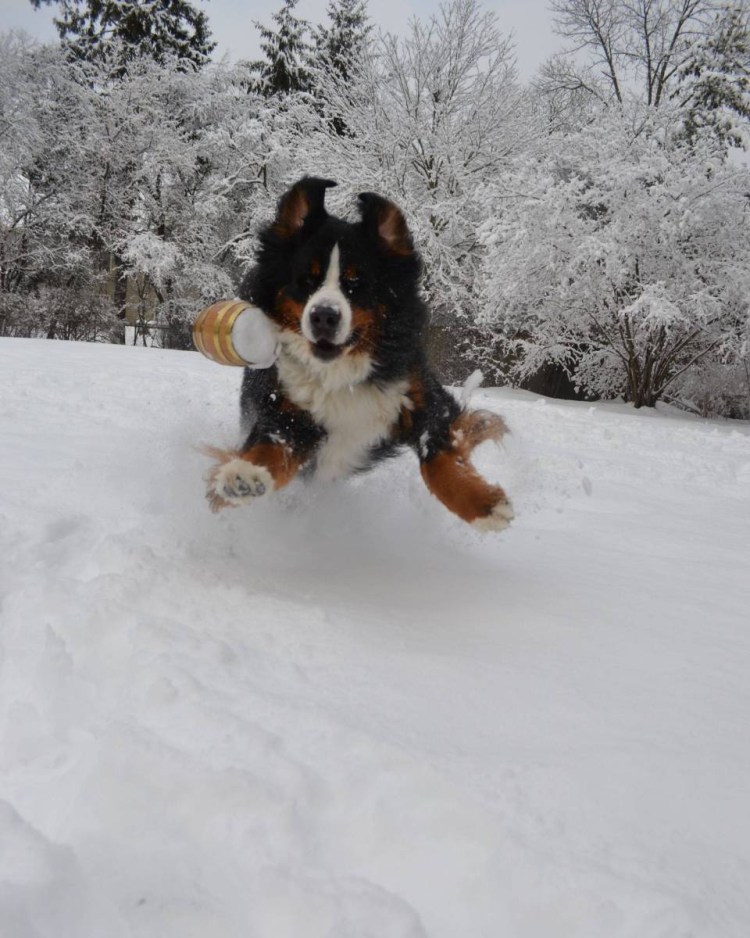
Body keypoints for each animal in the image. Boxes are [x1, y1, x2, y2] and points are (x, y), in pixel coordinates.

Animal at [205, 177, 513, 532]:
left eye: (356, 282)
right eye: (306, 280)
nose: (324, 316)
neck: (341, 373)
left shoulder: (418, 394)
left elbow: (438, 455)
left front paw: (482, 504)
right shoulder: (287, 411)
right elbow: (270, 447)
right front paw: (244, 475)